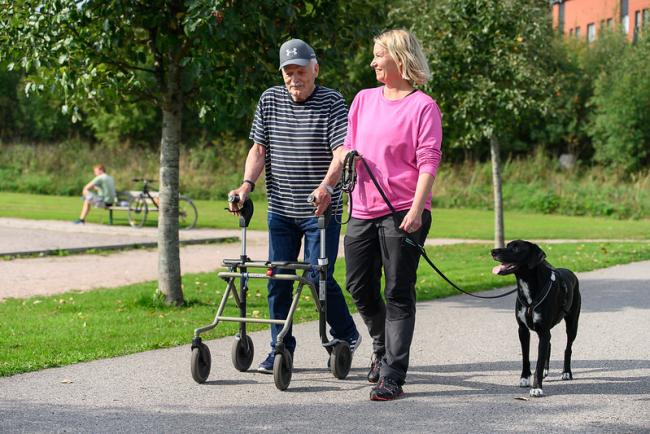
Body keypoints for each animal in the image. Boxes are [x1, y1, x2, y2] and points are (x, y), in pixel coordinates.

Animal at [492, 241, 576, 396]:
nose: (493, 251)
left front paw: (537, 387)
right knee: (549, 344)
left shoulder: (543, 331)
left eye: (516, 248)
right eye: (507, 245)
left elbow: (539, 361)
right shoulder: (523, 330)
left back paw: (566, 372)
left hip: (572, 324)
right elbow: (526, 357)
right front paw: (525, 378)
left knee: (568, 348)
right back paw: (546, 370)